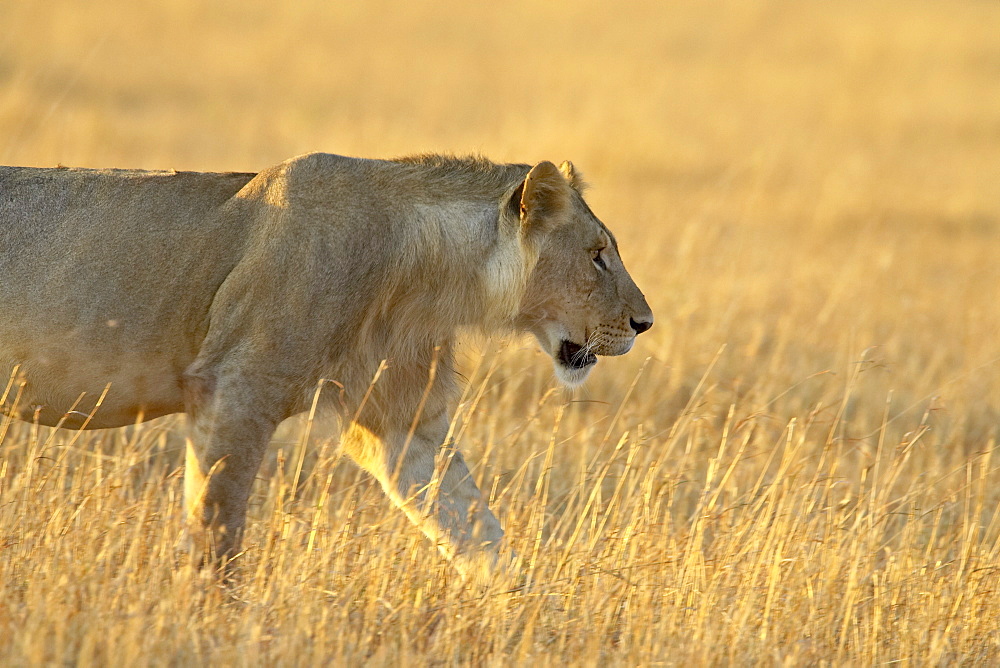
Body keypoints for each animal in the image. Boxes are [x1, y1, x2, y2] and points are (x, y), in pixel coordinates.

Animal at [0, 153, 652, 584]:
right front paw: (210, 621)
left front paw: (535, 616)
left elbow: (476, 526)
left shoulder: (402, 424)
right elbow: (217, 523)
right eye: (597, 256)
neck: (426, 279)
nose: (645, 323)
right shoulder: (234, 386)